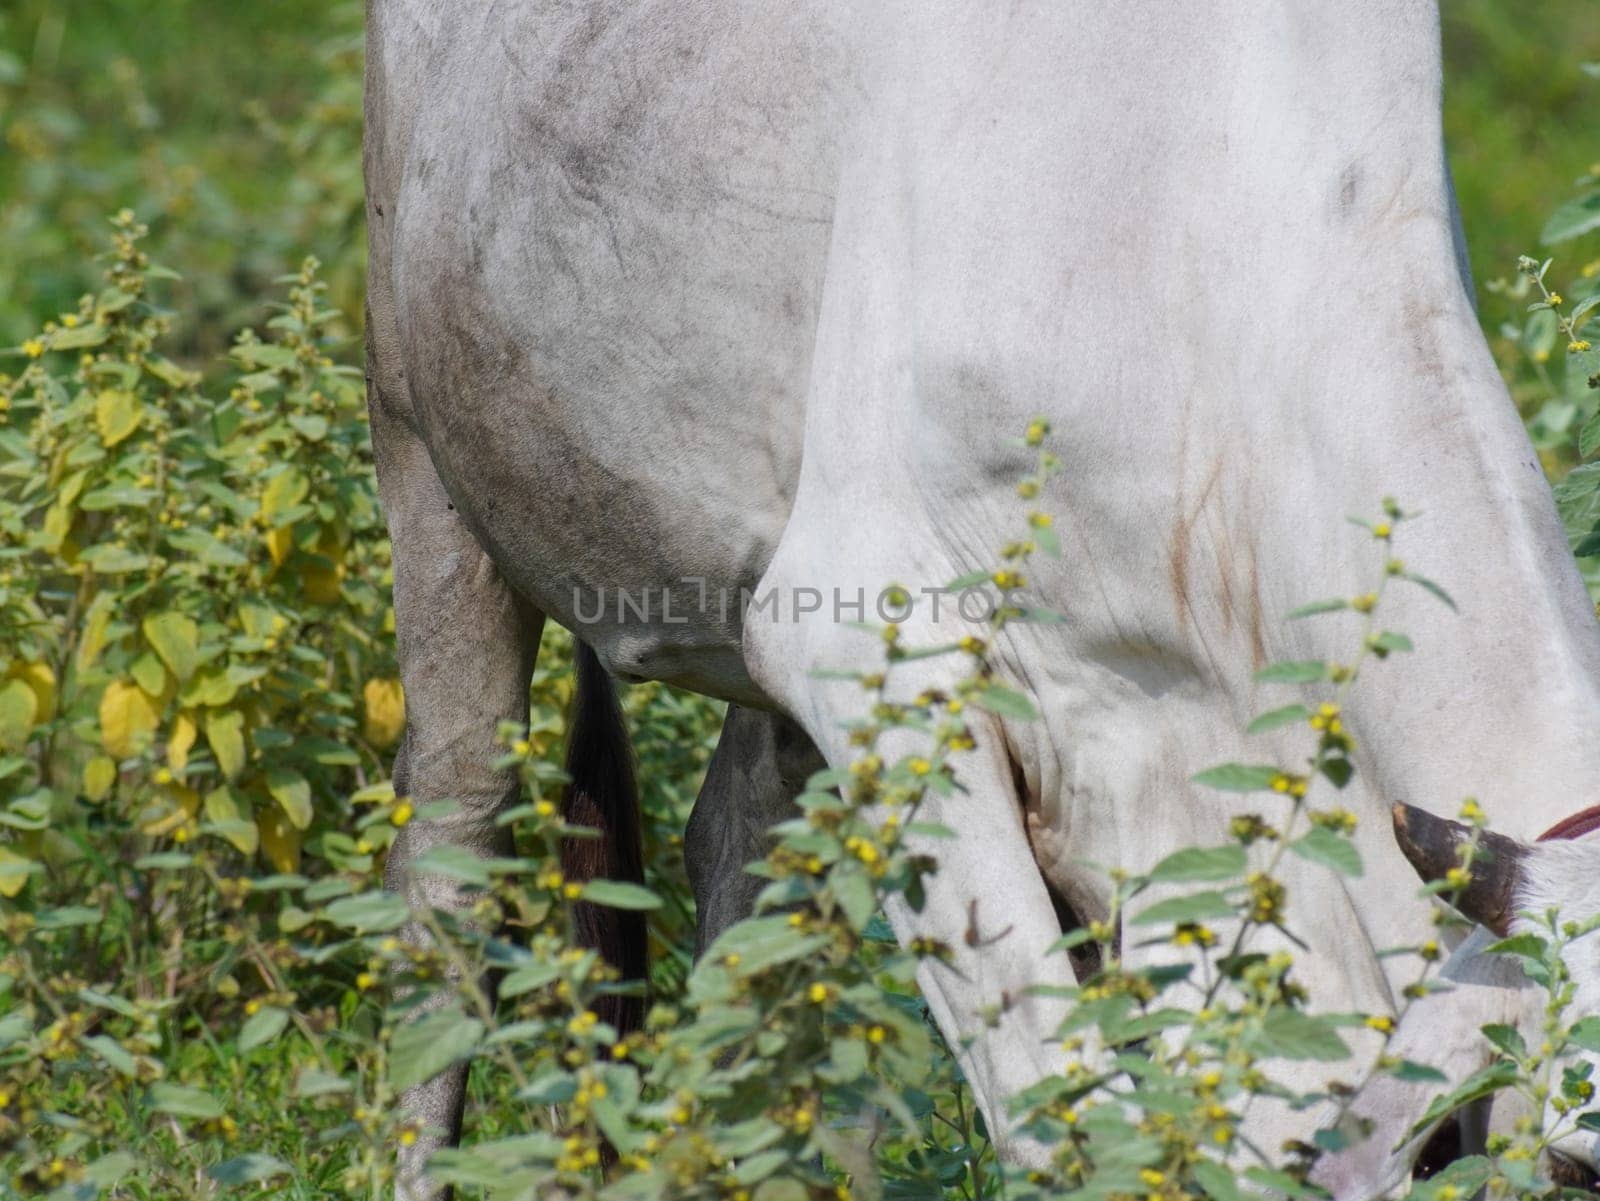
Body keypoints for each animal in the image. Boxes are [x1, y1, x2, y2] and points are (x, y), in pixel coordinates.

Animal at [363, 4, 1600, 1196]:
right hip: (426, 457)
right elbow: (1060, 1110)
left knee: (734, 848)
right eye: (1576, 1163)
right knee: (449, 861)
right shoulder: (874, 645)